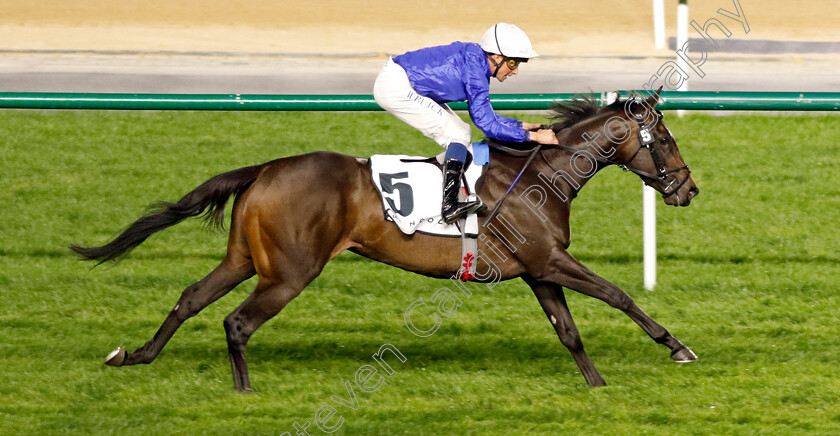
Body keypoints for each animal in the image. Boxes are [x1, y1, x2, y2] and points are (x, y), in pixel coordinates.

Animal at [72, 90, 700, 390]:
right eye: (666, 139)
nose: (688, 188)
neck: (539, 176)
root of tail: (267, 168)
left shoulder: (538, 269)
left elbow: (568, 331)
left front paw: (596, 384)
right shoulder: (550, 260)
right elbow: (618, 294)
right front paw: (677, 346)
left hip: (246, 259)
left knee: (190, 298)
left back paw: (136, 355)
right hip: (291, 271)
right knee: (237, 322)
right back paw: (244, 391)